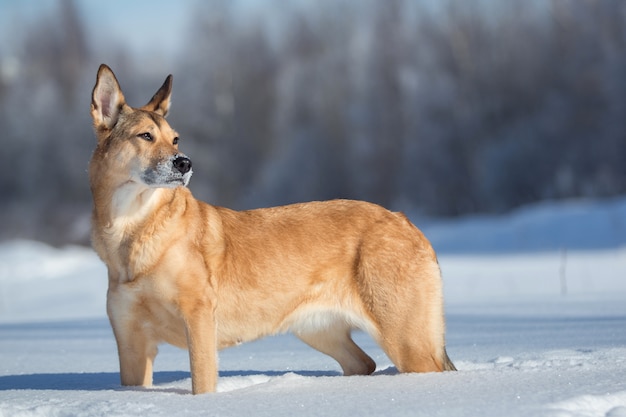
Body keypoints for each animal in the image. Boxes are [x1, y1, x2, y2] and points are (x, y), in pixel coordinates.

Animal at [88, 63, 454, 392]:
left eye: (175, 139)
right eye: (145, 136)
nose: (185, 163)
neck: (132, 228)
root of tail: (402, 218)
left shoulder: (199, 324)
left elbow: (202, 386)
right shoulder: (131, 344)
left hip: (408, 342)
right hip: (319, 331)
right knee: (364, 363)